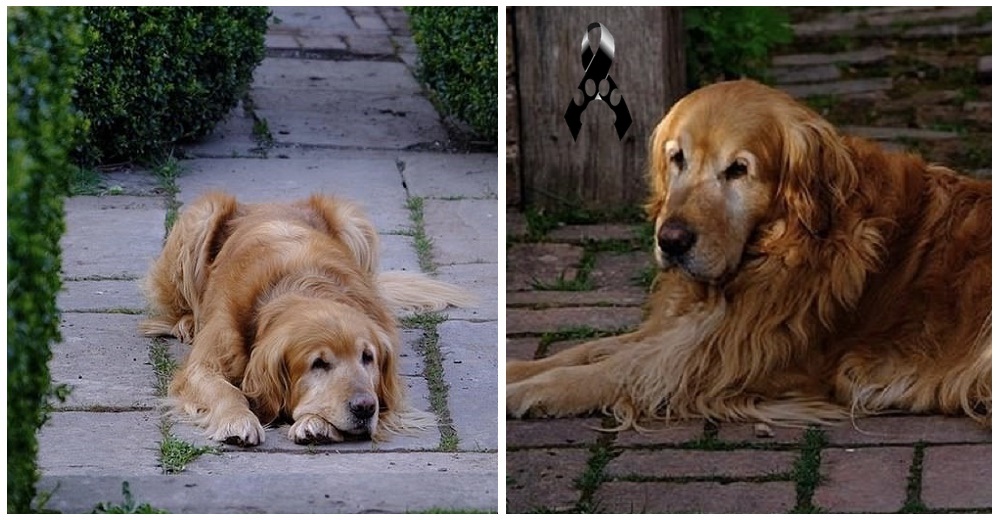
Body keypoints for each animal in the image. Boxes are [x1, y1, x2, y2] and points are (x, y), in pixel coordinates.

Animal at [141, 193, 472, 444]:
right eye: (318, 364)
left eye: (368, 358)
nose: (365, 407)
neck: (299, 284)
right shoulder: (204, 364)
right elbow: (226, 390)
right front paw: (238, 420)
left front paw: (316, 423)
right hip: (202, 217)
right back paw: (187, 322)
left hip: (354, 225)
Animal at [508, 81, 992, 428]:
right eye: (677, 158)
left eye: (738, 169)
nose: (671, 240)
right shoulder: (692, 328)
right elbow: (595, 349)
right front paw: (521, 369)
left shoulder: (732, 360)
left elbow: (618, 370)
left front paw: (533, 390)